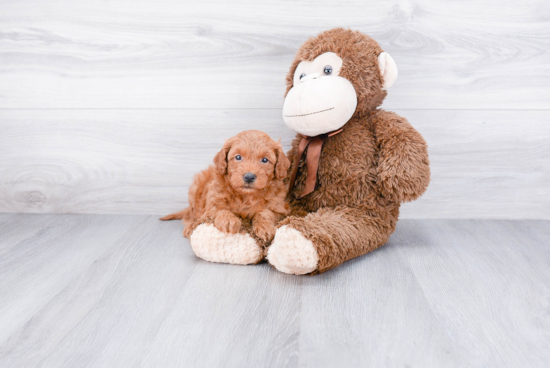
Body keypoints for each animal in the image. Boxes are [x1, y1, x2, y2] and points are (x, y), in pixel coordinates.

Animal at [162, 129, 292, 242]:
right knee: (192, 215)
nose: (249, 177)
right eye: (238, 157)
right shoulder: (212, 202)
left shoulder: (279, 208)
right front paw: (228, 220)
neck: (245, 196)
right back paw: (190, 226)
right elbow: (219, 209)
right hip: (196, 187)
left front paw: (265, 227)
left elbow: (265, 213)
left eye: (265, 160)